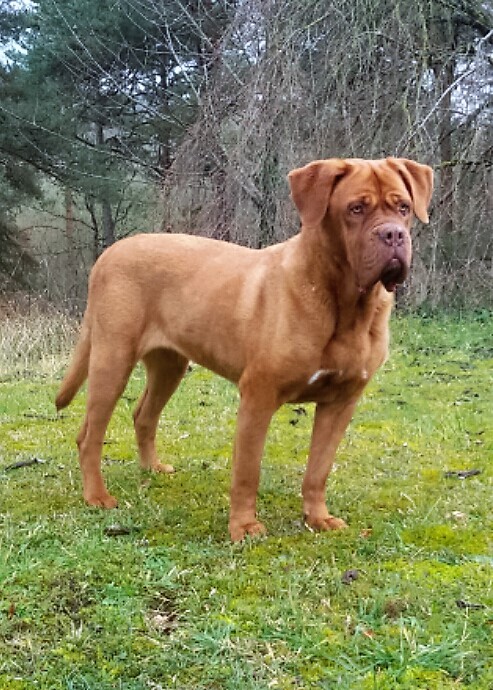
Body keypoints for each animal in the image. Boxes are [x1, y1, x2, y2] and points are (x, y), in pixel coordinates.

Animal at [56, 159, 430, 540]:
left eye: (403, 208)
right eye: (356, 209)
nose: (394, 235)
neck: (346, 305)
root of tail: (108, 254)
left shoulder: (341, 402)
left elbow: (318, 469)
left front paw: (318, 518)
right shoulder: (258, 395)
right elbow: (248, 471)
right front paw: (244, 526)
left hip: (169, 365)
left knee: (143, 415)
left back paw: (152, 469)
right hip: (112, 359)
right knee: (89, 435)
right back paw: (97, 496)